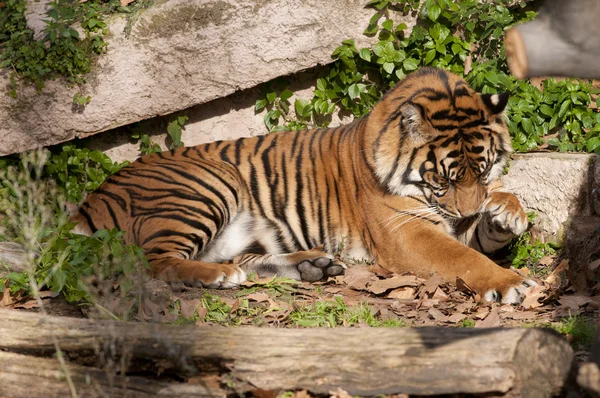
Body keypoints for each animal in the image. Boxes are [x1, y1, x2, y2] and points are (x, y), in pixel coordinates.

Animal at [70, 67, 536, 304]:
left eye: (484, 170)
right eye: (442, 177)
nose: (470, 212)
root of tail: (90, 200)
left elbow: (479, 232)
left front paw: (506, 212)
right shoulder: (407, 233)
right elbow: (461, 258)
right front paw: (509, 282)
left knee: (242, 260)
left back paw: (312, 265)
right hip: (207, 187)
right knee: (151, 262)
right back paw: (219, 276)